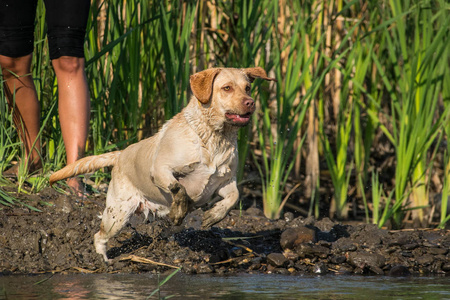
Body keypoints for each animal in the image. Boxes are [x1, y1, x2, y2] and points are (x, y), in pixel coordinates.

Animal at [49, 67, 274, 260]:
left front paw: (213, 215)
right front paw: (178, 211)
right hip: (117, 215)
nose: (250, 103)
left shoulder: (225, 181)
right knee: (99, 235)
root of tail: (121, 154)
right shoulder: (160, 170)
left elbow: (234, 197)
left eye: (247, 87)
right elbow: (179, 188)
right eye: (227, 88)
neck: (213, 137)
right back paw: (103, 259)